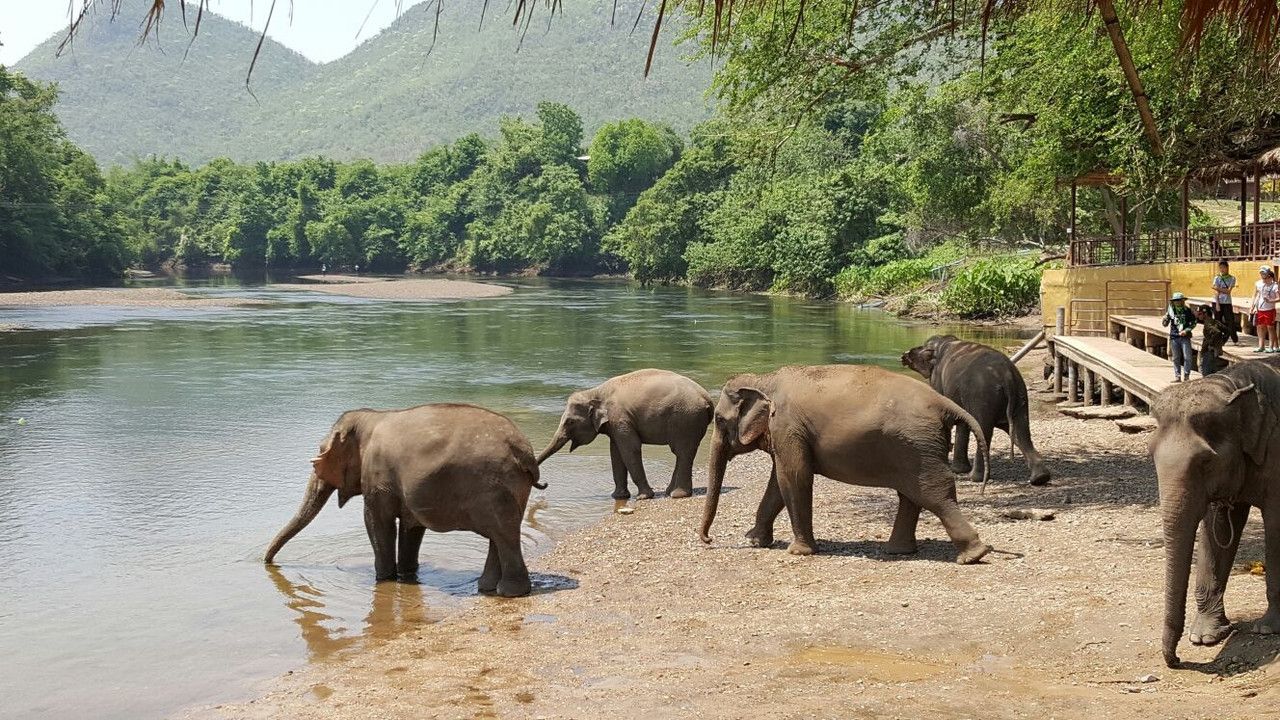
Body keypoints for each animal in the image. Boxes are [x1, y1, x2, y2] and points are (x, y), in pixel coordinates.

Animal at [265, 403, 544, 597]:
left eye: (319, 456)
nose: (267, 563)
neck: (369, 417)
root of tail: (525, 453)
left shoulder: (377, 476)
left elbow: (376, 522)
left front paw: (383, 578)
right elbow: (411, 528)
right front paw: (407, 575)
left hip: (495, 488)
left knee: (503, 534)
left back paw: (509, 593)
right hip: (513, 489)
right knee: (501, 535)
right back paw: (487, 588)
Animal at [537, 368, 713, 500]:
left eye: (570, 422)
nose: (545, 484)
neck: (595, 392)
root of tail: (708, 399)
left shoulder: (620, 418)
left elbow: (630, 449)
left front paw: (643, 497)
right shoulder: (615, 425)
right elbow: (615, 453)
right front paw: (618, 497)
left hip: (686, 419)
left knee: (683, 452)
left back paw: (678, 495)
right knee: (681, 453)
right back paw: (670, 492)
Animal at [700, 364, 993, 564]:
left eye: (719, 419)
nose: (708, 540)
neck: (764, 379)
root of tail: (942, 402)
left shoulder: (787, 425)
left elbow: (793, 477)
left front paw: (798, 552)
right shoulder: (785, 432)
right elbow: (778, 482)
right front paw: (755, 540)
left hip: (916, 445)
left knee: (933, 491)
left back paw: (972, 555)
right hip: (915, 447)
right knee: (911, 494)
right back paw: (899, 550)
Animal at [902, 335, 1051, 486]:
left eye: (921, 347)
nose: (904, 355)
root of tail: (1007, 376)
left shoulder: (938, 381)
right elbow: (962, 423)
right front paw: (959, 470)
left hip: (983, 397)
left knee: (984, 430)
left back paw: (975, 478)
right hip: (1020, 397)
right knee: (1020, 432)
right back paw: (1040, 477)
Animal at [1151, 358, 1280, 667]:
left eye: (1206, 461)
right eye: (1150, 454)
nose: (1176, 660)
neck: (1233, 385)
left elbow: (1276, 522)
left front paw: (1267, 629)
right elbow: (1217, 529)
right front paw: (1205, 637)